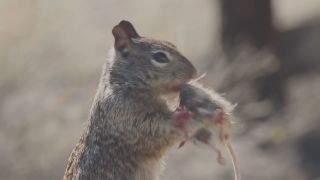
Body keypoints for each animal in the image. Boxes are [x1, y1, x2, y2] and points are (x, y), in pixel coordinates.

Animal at [62, 20, 215, 179]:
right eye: (160, 57)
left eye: (172, 44)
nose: (194, 73)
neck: (123, 84)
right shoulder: (131, 121)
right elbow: (162, 130)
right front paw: (195, 118)